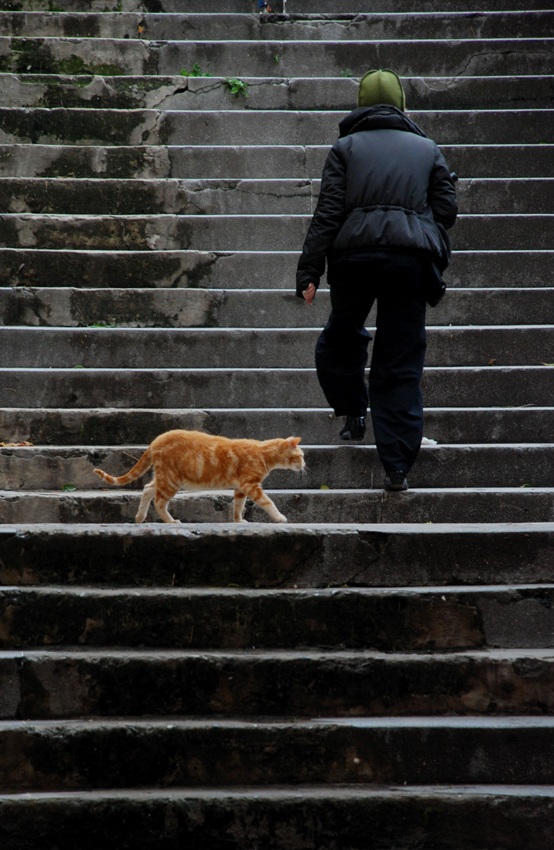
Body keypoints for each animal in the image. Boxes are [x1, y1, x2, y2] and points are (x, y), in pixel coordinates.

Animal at [92, 430, 304, 524]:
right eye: (301, 456)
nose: (304, 466)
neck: (263, 452)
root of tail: (157, 439)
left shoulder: (241, 488)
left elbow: (238, 506)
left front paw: (238, 521)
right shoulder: (250, 485)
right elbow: (268, 502)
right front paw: (279, 518)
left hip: (164, 477)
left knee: (147, 489)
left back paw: (139, 517)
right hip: (171, 480)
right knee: (159, 502)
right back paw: (170, 521)